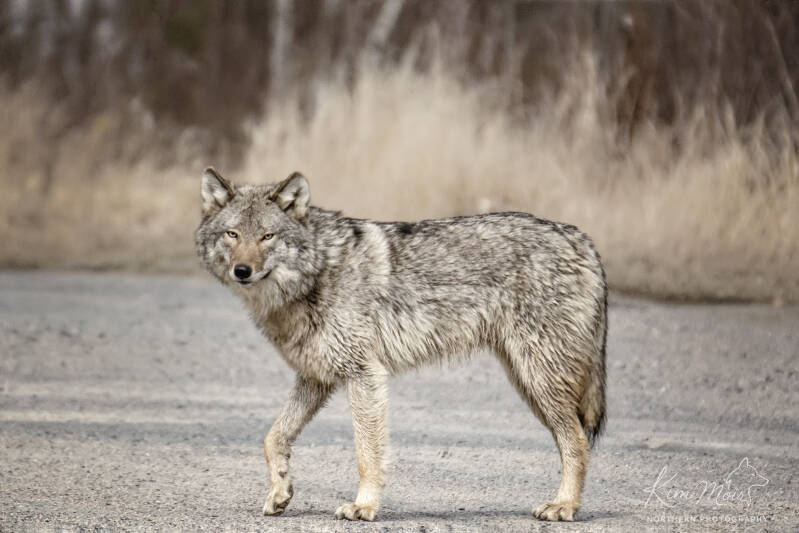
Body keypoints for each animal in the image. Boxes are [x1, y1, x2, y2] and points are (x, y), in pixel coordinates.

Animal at [195, 167, 607, 522]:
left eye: (268, 237)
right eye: (232, 235)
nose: (242, 271)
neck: (317, 272)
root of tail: (581, 238)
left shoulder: (363, 375)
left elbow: (366, 454)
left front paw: (363, 507)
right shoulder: (317, 378)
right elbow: (272, 438)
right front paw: (280, 492)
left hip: (538, 380)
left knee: (577, 442)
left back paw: (563, 506)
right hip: (528, 382)